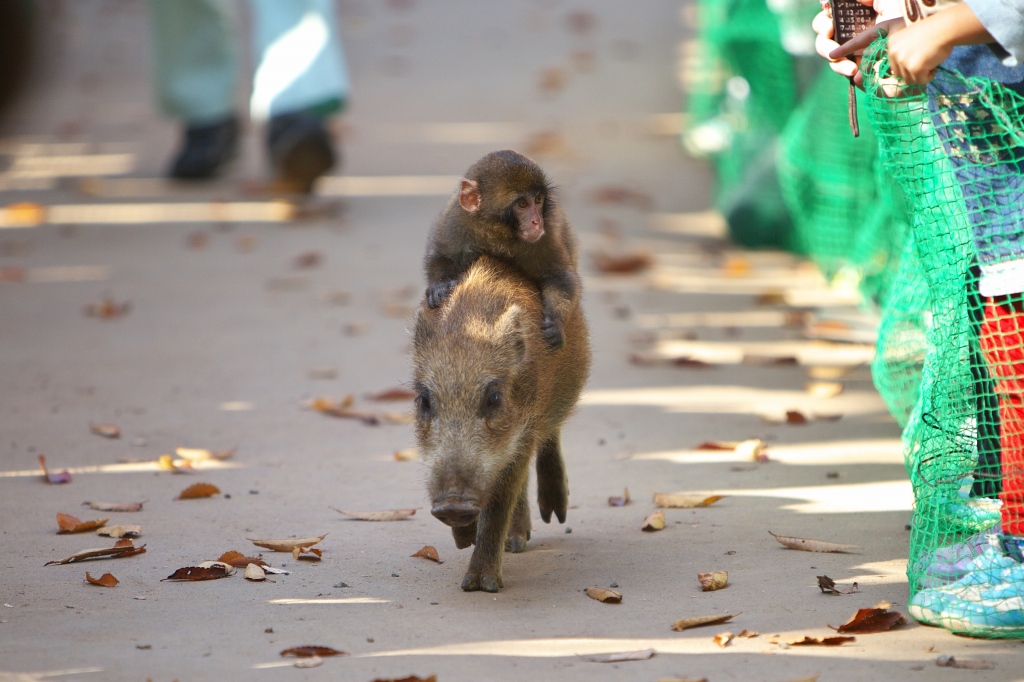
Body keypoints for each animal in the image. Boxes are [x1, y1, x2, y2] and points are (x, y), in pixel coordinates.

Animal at [423, 150, 581, 348]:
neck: (498, 234)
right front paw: (440, 286)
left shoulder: (547, 235)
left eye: (538, 200)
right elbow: (441, 256)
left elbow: (559, 276)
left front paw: (555, 323)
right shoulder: (456, 220)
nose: (537, 222)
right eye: (522, 204)